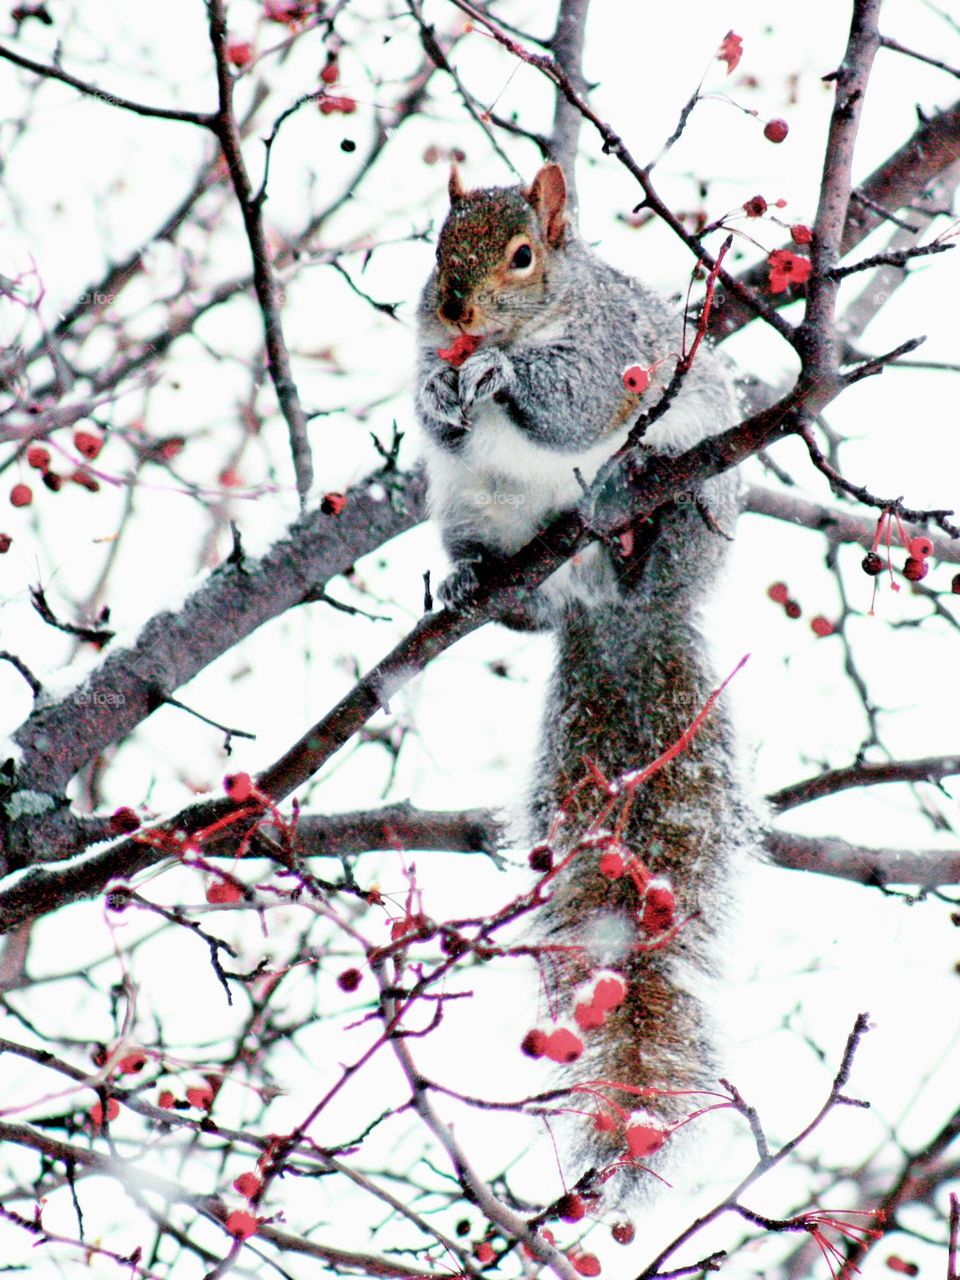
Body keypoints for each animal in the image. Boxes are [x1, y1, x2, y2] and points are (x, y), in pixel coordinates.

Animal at [414, 165, 757, 1192]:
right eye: (434, 252)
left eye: (524, 255)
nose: (455, 311)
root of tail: (603, 610)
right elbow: (431, 408)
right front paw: (441, 388)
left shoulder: (608, 354)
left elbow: (568, 399)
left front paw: (499, 379)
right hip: (468, 511)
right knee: (511, 590)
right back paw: (477, 580)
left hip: (694, 495)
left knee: (654, 522)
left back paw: (635, 524)